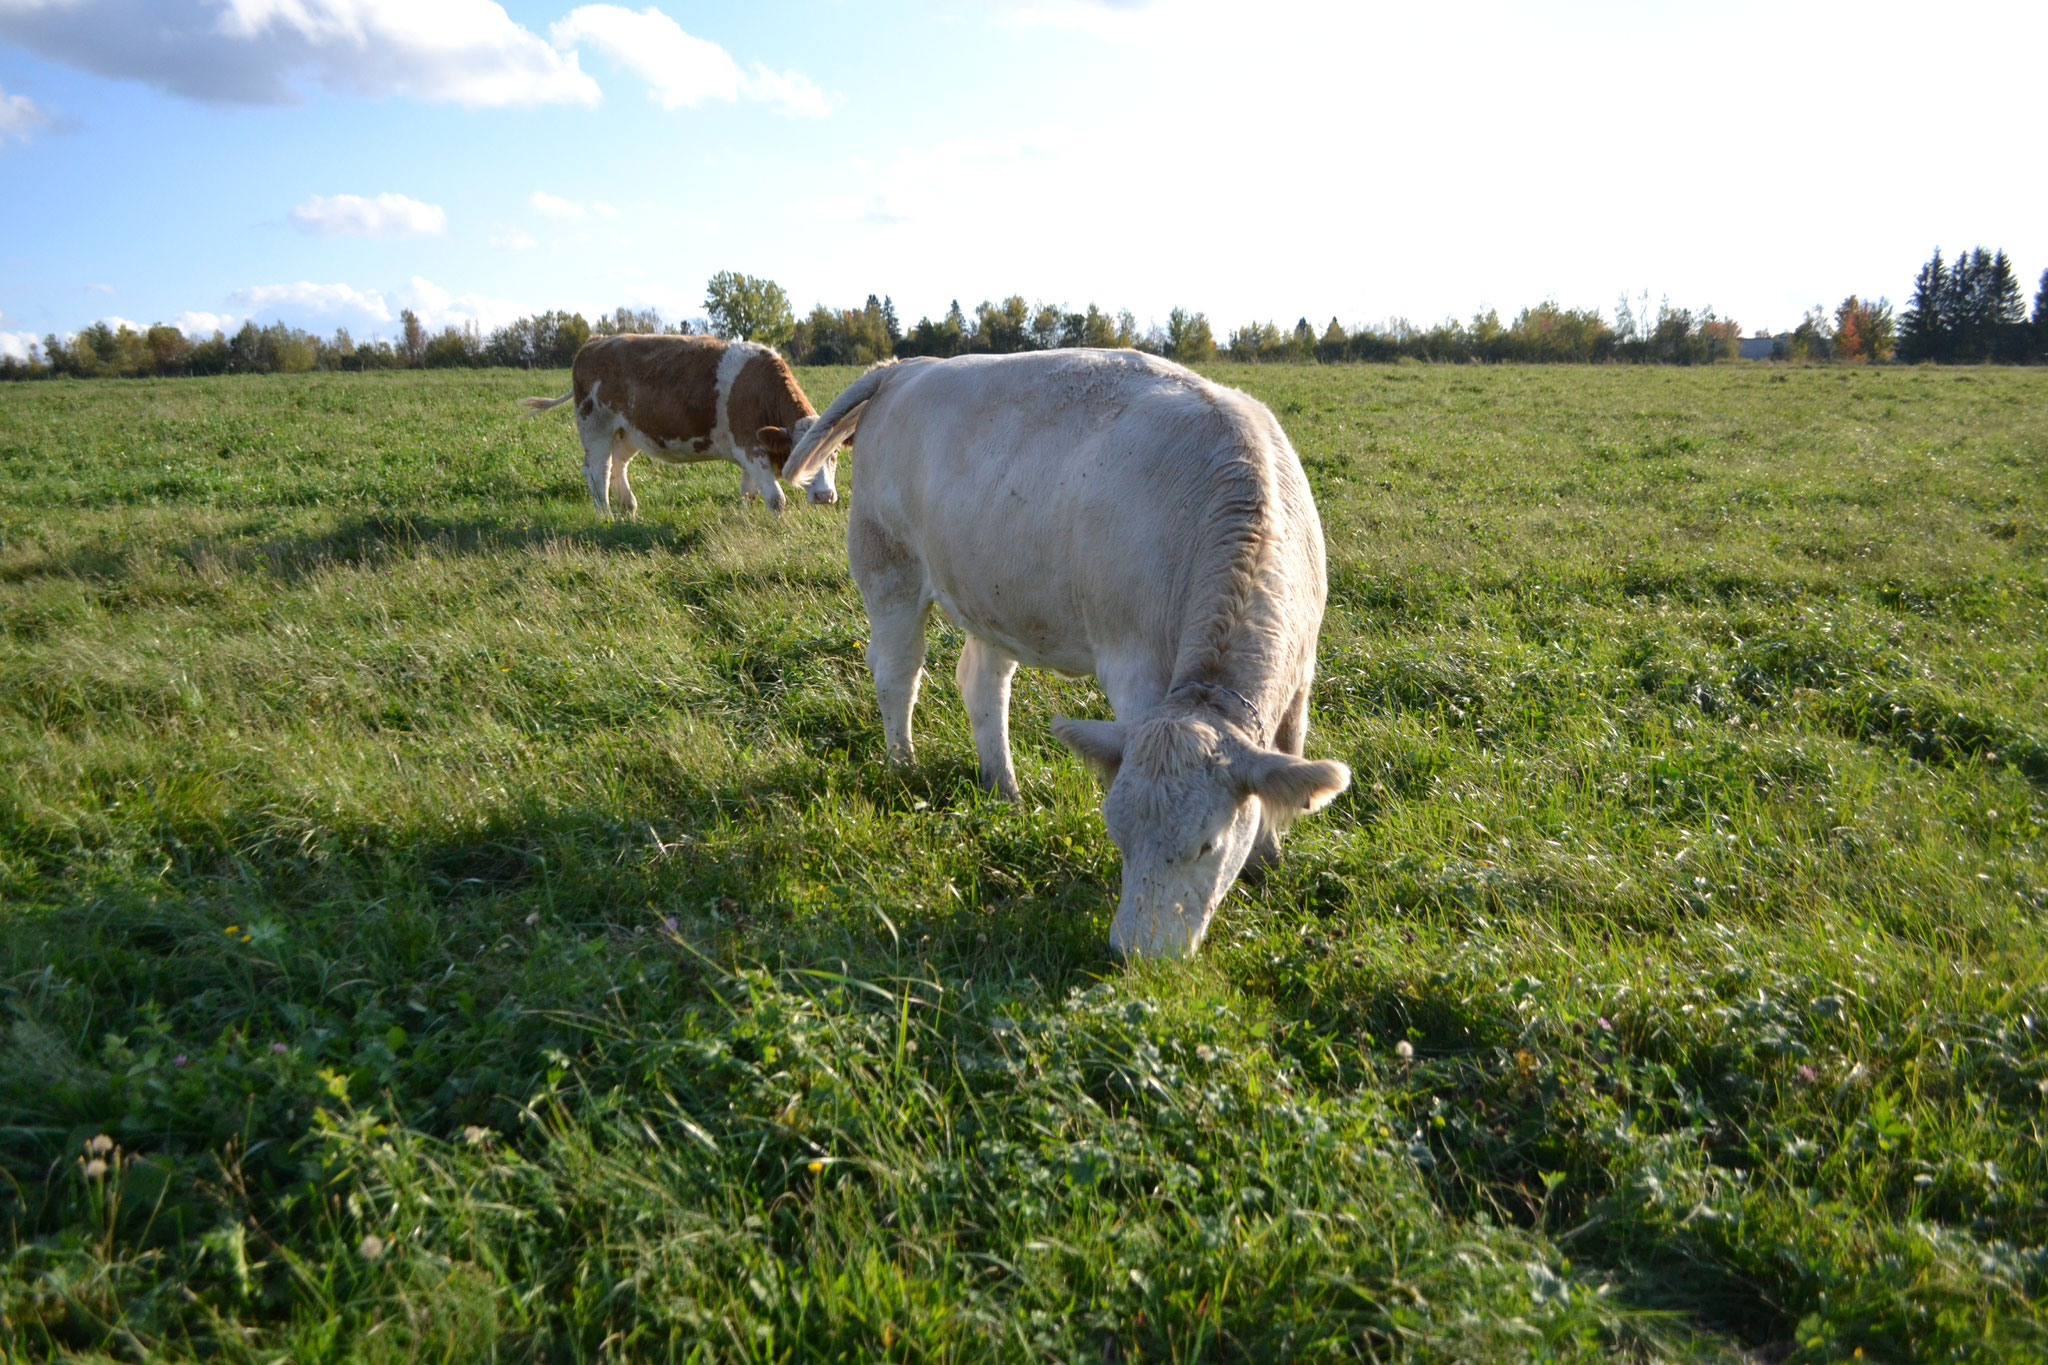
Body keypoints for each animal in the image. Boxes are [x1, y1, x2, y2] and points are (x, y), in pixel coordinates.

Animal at [528, 335, 856, 517]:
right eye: (799, 455)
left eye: (834, 455)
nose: (825, 496)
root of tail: (595, 341)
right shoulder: (750, 448)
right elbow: (776, 500)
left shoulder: (749, 453)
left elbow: (748, 494)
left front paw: (747, 519)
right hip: (595, 425)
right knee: (598, 469)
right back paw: (605, 514)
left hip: (629, 431)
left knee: (618, 464)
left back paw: (629, 507)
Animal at [790, 347, 1351, 957]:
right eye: (1118, 833)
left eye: (1208, 845)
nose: (1138, 953)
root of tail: (905, 366)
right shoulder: (1135, 669)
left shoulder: (1301, 679)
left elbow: (1284, 762)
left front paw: (1268, 863)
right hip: (888, 567)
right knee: (897, 673)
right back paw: (905, 767)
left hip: (995, 593)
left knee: (982, 683)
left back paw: (1004, 788)